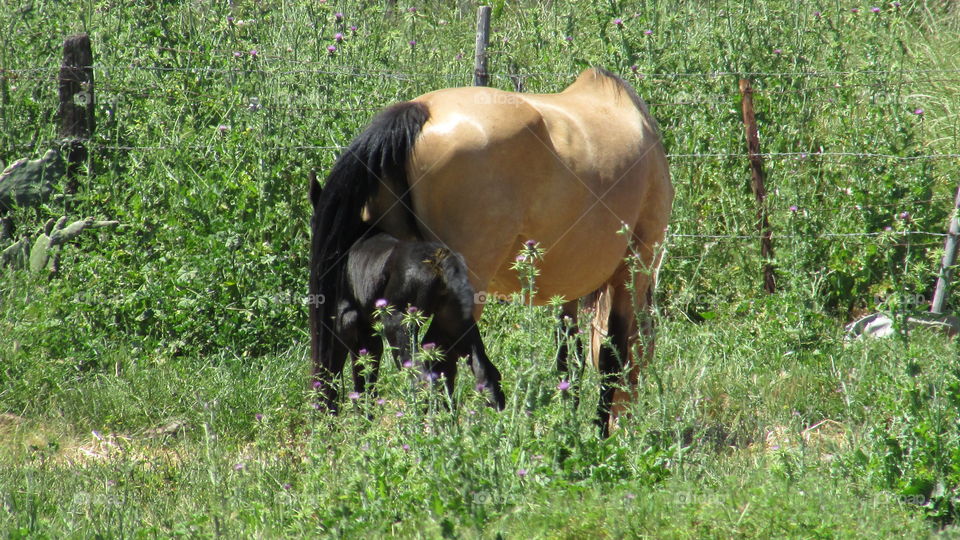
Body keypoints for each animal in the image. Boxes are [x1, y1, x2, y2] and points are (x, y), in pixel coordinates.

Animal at [309, 176, 505, 410]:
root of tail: (439, 261)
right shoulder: (366, 329)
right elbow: (365, 376)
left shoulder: (344, 320)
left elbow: (334, 369)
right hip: (456, 322)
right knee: (486, 374)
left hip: (399, 324)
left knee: (423, 379)